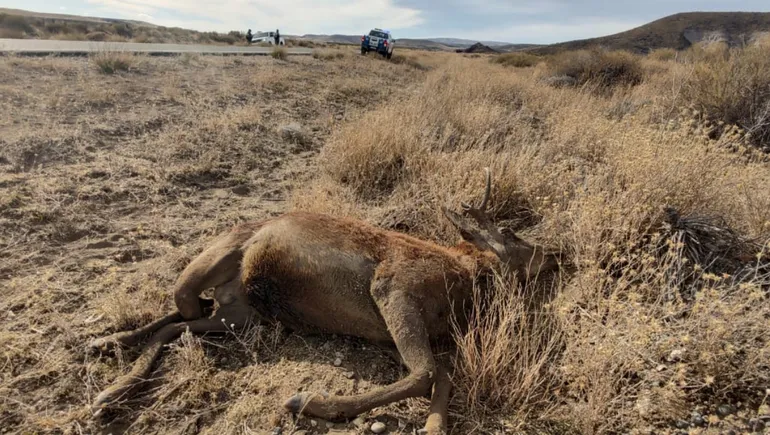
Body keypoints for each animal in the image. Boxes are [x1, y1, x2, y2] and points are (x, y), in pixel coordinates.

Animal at [88, 168, 560, 434]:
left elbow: (438, 375)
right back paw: (109, 370)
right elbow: (427, 372)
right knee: (179, 311)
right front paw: (309, 401)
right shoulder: (393, 289)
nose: (555, 254)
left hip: (241, 317)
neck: (464, 279)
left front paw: (434, 425)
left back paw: (109, 369)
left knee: (179, 322)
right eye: (512, 234)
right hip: (205, 275)